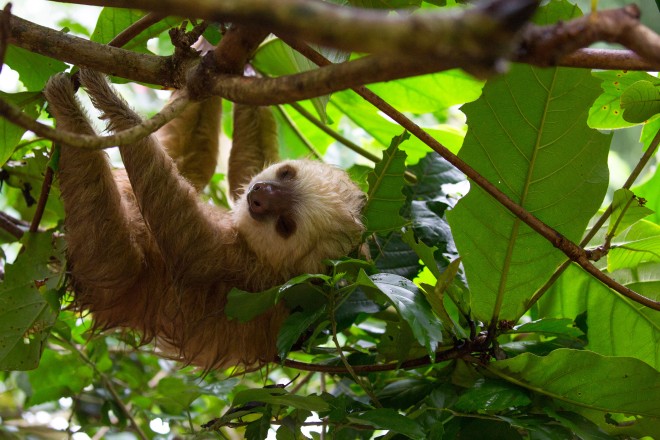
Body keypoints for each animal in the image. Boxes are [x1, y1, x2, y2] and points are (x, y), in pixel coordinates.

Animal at [43, 69, 366, 369]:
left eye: (286, 224)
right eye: (286, 173)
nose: (260, 196)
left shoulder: (248, 277)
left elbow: (184, 235)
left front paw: (110, 101)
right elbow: (243, 165)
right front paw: (240, 69)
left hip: (107, 274)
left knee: (107, 238)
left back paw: (68, 112)